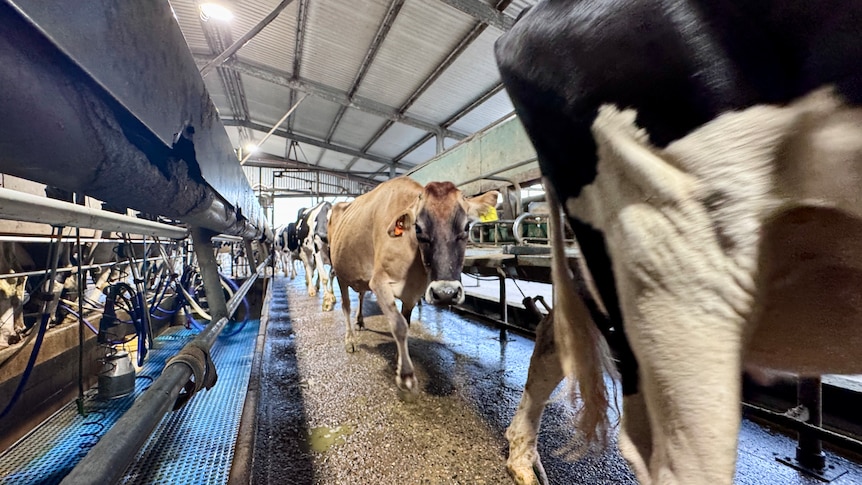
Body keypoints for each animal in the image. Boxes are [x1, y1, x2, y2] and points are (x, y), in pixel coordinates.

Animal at [328, 177, 499, 396]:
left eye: (467, 227)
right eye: (418, 228)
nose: (446, 293)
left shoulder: (412, 293)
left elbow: (406, 324)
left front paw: (399, 359)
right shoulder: (379, 282)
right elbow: (398, 325)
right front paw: (406, 375)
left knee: (360, 294)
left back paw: (360, 321)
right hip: (340, 272)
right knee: (346, 306)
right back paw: (350, 340)